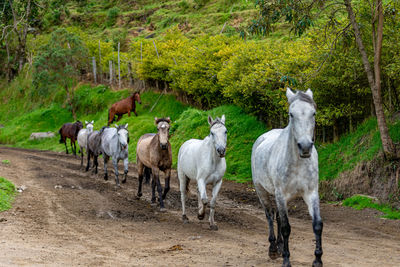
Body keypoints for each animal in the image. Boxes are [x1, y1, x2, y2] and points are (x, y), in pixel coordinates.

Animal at [252, 89, 324, 267]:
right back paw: (273, 249)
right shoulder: (281, 195)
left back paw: (278, 246)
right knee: (270, 216)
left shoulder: (311, 193)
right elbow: (286, 227)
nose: (305, 147)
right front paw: (286, 260)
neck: (298, 162)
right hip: (262, 191)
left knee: (277, 217)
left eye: (313, 113)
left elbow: (317, 225)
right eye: (291, 114)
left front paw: (317, 260)